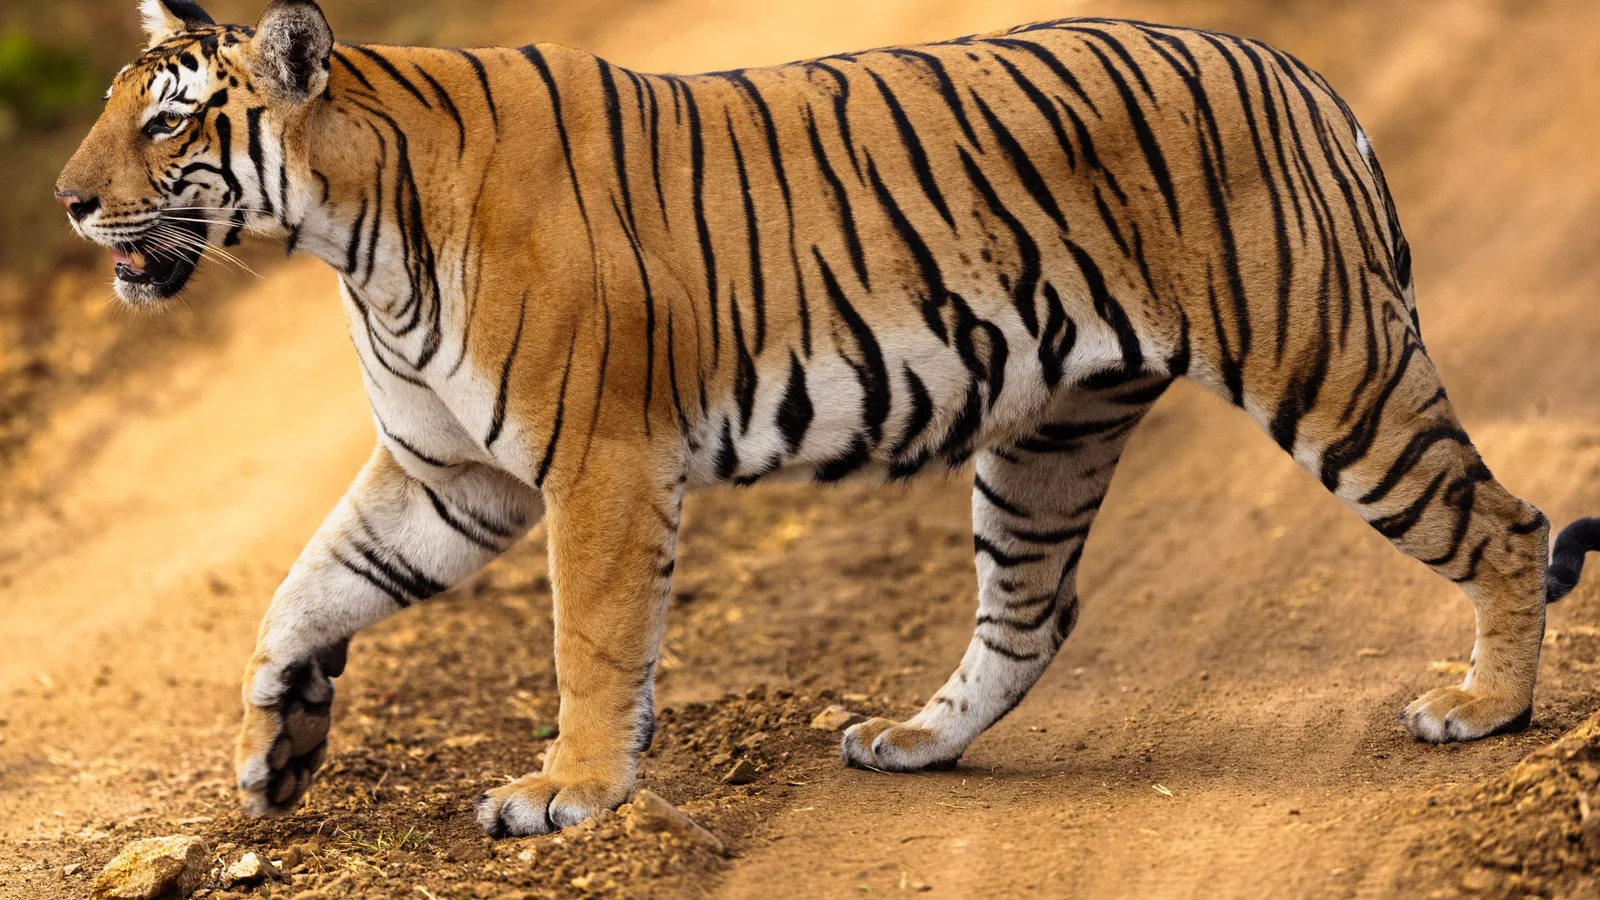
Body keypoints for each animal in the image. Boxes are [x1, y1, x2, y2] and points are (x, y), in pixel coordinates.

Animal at [56, 0, 1600, 838]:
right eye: (118, 114)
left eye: (169, 124)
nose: (68, 204)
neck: (351, 235)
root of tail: (1299, 74)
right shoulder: (446, 473)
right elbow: (307, 588)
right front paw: (273, 752)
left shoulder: (594, 462)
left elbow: (591, 643)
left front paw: (568, 794)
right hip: (1050, 436)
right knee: (1032, 616)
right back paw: (915, 742)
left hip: (1330, 366)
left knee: (1503, 520)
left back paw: (1485, 709)